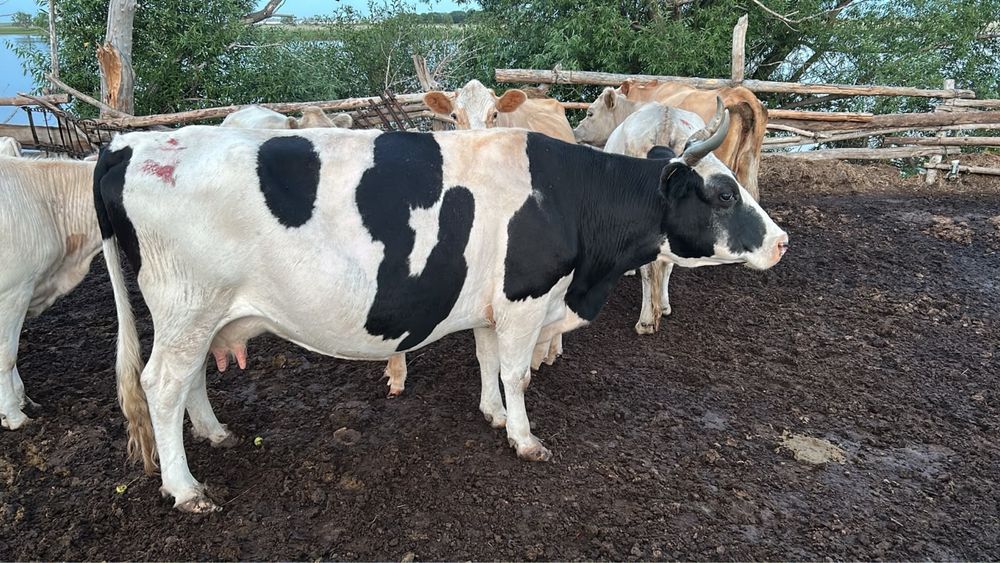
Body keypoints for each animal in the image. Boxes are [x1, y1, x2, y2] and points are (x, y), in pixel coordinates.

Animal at [94, 118, 788, 512]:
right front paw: (524, 437)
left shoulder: (490, 305)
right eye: (722, 193)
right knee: (161, 384)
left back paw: (215, 434)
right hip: (187, 305)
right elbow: (515, 370)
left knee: (189, 379)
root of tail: (128, 143)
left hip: (202, 314)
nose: (782, 241)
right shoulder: (524, 299)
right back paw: (186, 490)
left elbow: (486, 360)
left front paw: (491, 414)